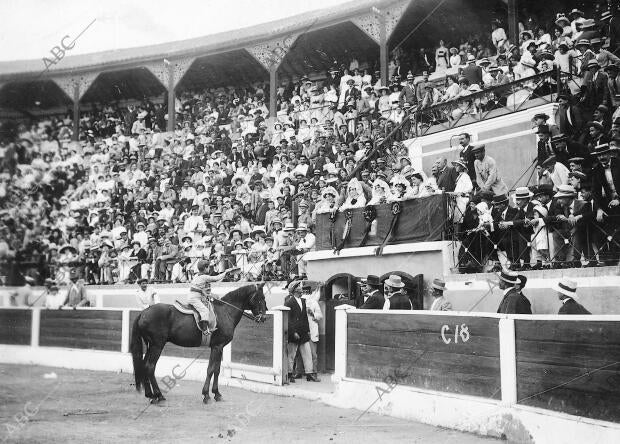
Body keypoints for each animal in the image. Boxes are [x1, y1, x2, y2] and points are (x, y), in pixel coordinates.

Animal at [131, 282, 266, 404]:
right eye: (260, 298)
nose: (264, 318)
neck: (225, 312)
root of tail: (143, 312)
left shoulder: (218, 347)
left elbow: (217, 370)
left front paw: (217, 394)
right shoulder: (217, 347)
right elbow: (211, 369)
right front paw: (206, 395)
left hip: (151, 346)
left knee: (144, 366)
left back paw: (150, 395)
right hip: (157, 346)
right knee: (150, 367)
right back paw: (158, 395)